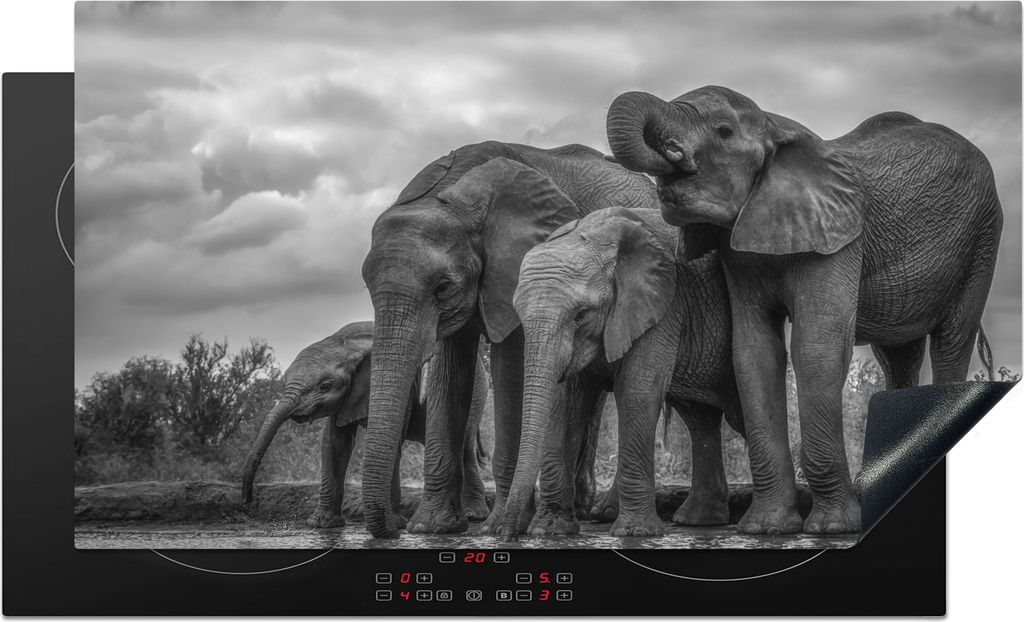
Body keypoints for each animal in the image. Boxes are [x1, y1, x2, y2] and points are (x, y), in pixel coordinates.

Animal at [240, 321, 490, 528]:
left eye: (325, 386)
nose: (247, 502)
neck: (346, 342)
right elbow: (335, 443)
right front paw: (321, 524)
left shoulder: (406, 386)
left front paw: (394, 523)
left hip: (476, 391)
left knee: (465, 448)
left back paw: (473, 515)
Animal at [360, 140, 660, 538]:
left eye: (443, 287)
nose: (393, 528)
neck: (452, 194)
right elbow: (449, 376)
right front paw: (430, 527)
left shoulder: (517, 269)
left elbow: (511, 373)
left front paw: (497, 526)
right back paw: (582, 511)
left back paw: (601, 514)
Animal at [504, 207, 744, 538]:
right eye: (519, 315)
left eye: (581, 314)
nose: (508, 534)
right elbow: (566, 401)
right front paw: (551, 530)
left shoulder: (664, 304)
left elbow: (636, 390)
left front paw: (635, 533)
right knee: (700, 417)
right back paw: (697, 520)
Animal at [606, 86, 1002, 535]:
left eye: (723, 131)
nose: (674, 154)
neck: (776, 126)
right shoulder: (739, 252)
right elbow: (753, 355)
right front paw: (767, 528)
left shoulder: (840, 236)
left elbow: (816, 349)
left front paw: (831, 528)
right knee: (899, 355)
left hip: (984, 237)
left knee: (952, 340)